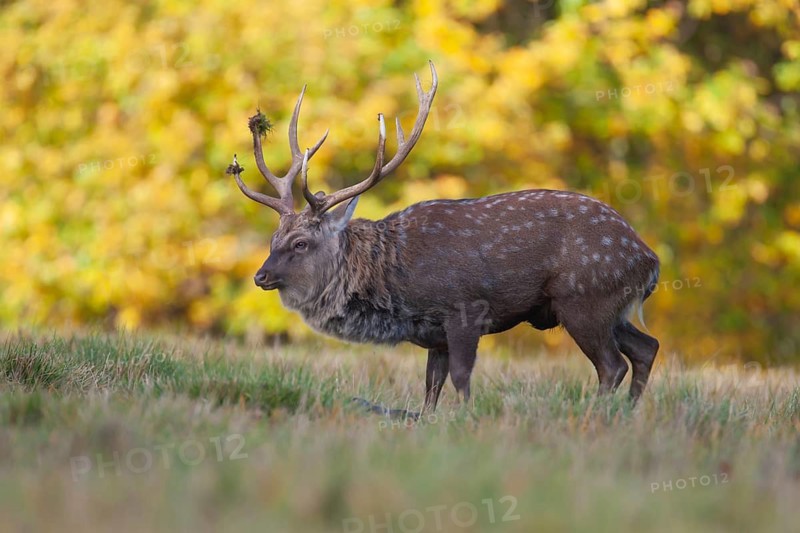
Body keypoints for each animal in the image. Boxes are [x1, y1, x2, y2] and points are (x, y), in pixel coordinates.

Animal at [226, 61, 660, 418]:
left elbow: (461, 378)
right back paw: (627, 414)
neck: (397, 286)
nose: (260, 276)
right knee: (647, 347)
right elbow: (430, 389)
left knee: (612, 365)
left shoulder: (465, 310)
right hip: (610, 307)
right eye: (274, 237)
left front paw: (466, 420)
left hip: (584, 298)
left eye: (301, 243)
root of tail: (649, 259)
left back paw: (597, 415)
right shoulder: (435, 333)